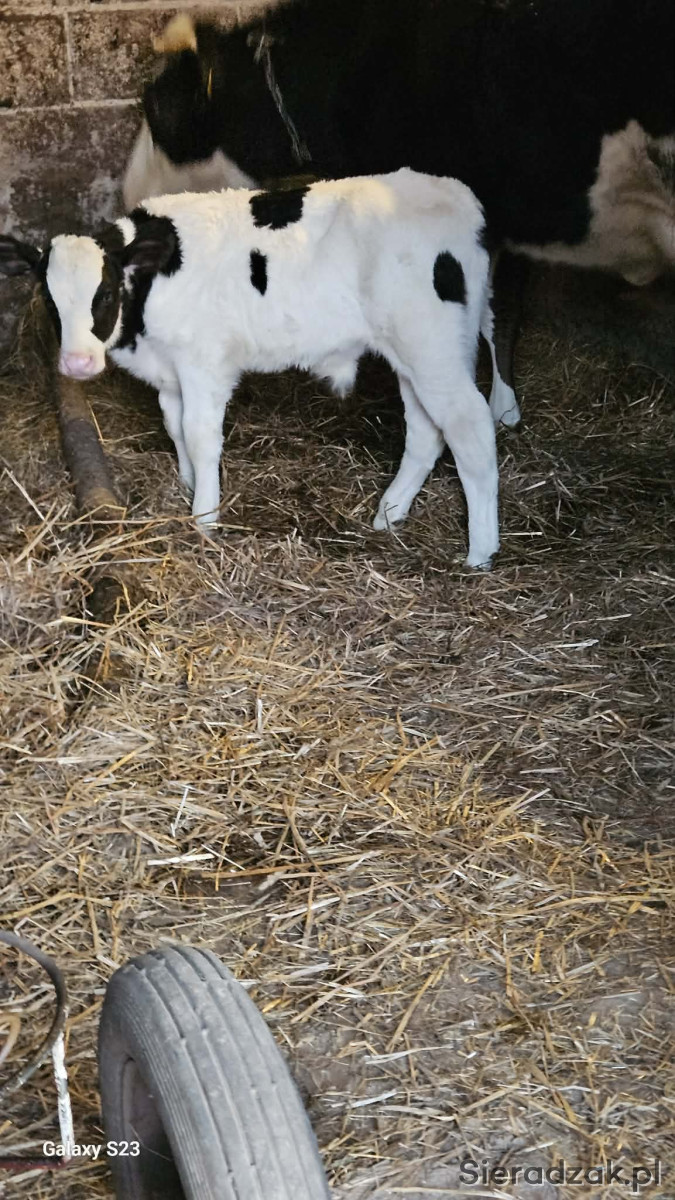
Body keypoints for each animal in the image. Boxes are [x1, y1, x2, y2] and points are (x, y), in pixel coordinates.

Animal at [0, 169, 513, 568]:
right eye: (50, 300)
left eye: (103, 293)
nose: (77, 363)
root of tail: (456, 194)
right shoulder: (170, 368)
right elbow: (174, 426)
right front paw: (189, 484)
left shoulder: (204, 362)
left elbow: (200, 434)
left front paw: (205, 516)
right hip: (413, 355)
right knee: (427, 432)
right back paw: (389, 515)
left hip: (432, 350)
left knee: (470, 427)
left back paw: (480, 552)